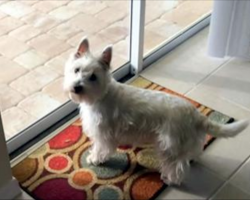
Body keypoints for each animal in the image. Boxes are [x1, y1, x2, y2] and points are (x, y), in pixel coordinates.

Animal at [64, 37, 248, 184]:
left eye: (93, 76)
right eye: (77, 69)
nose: (77, 87)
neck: (100, 96)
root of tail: (196, 115)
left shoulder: (103, 133)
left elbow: (100, 148)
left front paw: (94, 159)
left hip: (170, 144)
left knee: (176, 166)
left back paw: (170, 179)